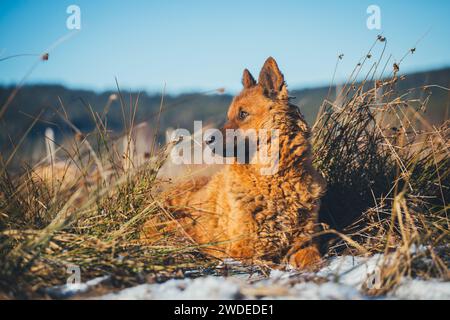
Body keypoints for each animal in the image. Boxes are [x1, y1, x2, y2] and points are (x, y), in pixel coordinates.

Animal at [142, 57, 326, 268]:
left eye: (243, 114)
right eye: (229, 115)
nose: (207, 140)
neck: (273, 181)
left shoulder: (305, 242)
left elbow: (313, 260)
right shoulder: (244, 251)